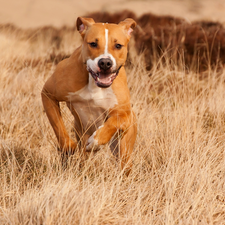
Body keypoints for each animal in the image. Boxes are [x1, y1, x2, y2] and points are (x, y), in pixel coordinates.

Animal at [41, 16, 138, 174]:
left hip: (124, 149)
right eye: (93, 43)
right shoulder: (48, 93)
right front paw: (68, 146)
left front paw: (96, 142)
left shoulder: (124, 114)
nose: (105, 62)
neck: (94, 83)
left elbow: (113, 122)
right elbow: (58, 125)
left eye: (118, 45)